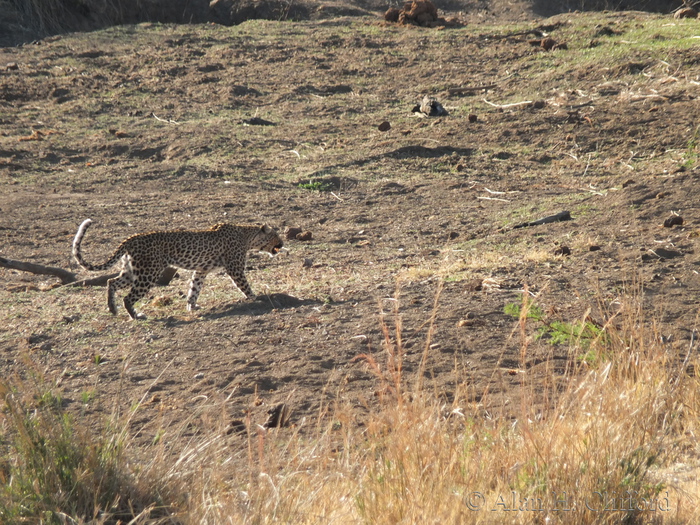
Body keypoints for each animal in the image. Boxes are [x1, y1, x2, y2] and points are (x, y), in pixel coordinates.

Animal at [72, 219, 283, 320]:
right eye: (276, 235)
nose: (282, 243)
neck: (248, 236)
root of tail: (131, 238)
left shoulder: (201, 270)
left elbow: (194, 289)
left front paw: (191, 306)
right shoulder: (235, 268)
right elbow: (244, 286)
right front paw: (255, 298)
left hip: (132, 271)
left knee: (111, 282)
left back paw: (112, 309)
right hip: (148, 274)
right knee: (128, 297)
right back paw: (136, 316)